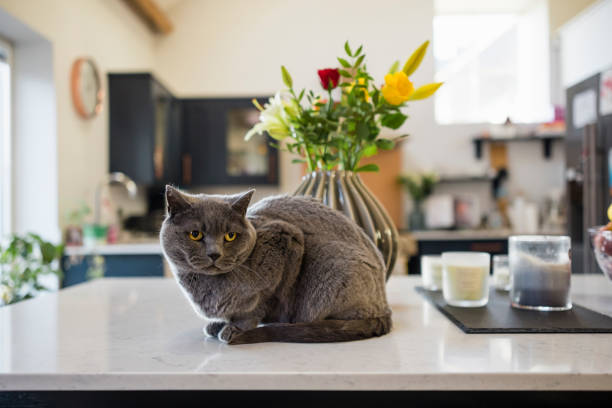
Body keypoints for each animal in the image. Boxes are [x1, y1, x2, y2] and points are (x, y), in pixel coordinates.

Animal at [160, 186, 390, 344]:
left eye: (230, 236)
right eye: (195, 234)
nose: (214, 254)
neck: (210, 286)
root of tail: (385, 305)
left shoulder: (286, 239)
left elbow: (259, 305)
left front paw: (236, 328)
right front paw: (219, 324)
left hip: (335, 268)